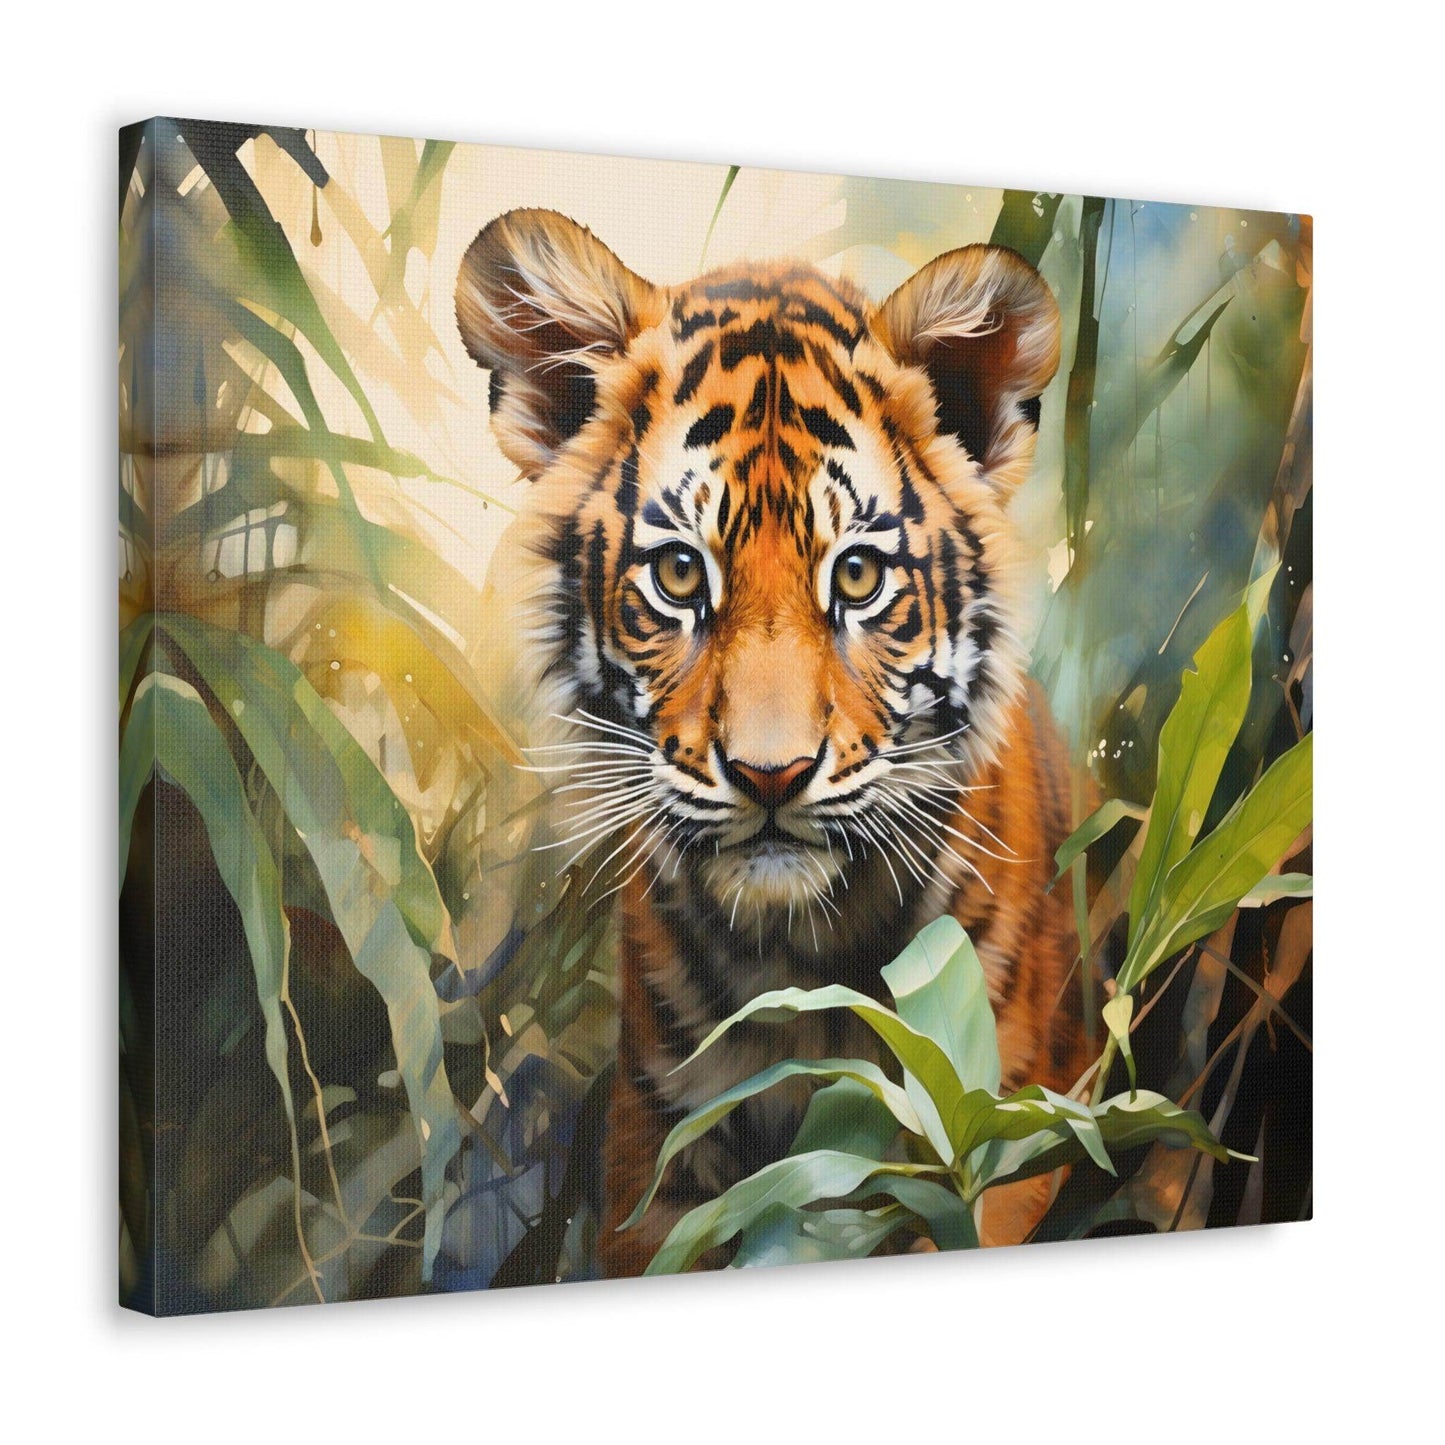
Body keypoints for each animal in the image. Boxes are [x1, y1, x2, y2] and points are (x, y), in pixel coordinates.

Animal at [455, 208, 1087, 1276]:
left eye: (859, 576)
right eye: (677, 574)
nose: (770, 774)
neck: (799, 961)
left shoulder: (996, 1146)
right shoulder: (658, 1156)